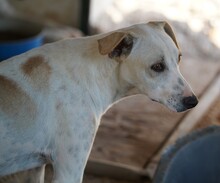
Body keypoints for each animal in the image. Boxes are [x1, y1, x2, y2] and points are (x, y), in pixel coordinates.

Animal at [0, 20, 199, 182]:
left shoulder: (33, 168)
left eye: (179, 58)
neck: (93, 73)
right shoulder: (69, 171)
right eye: (157, 67)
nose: (193, 102)